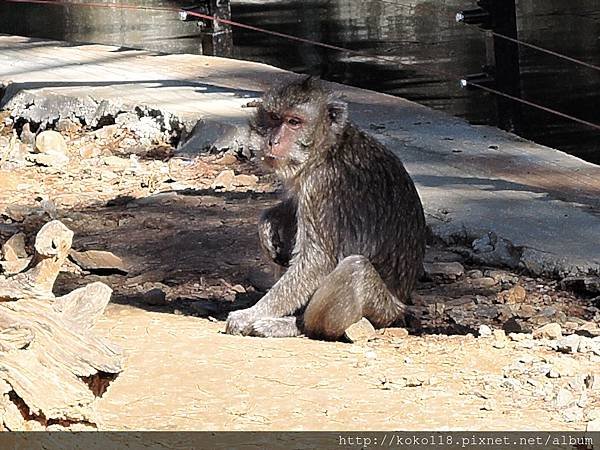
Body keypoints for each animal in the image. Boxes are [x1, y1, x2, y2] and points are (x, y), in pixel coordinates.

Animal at [225, 75, 426, 340]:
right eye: (274, 118)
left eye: (294, 122)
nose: (272, 141)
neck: (327, 148)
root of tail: (402, 305)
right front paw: (268, 222)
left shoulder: (322, 186)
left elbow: (317, 261)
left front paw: (250, 314)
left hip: (384, 309)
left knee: (356, 269)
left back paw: (297, 325)